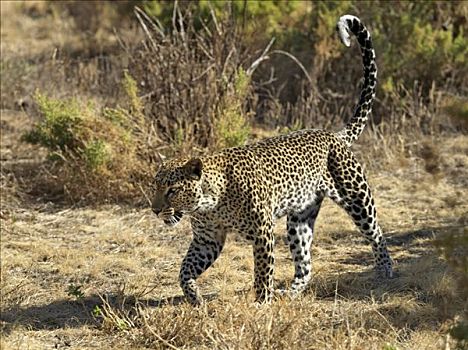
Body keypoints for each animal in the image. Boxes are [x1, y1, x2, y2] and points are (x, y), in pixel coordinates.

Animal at [152, 14, 394, 304]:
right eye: (154, 188)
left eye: (172, 190)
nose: (154, 210)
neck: (209, 202)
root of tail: (333, 134)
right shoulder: (206, 239)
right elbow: (184, 269)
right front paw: (194, 298)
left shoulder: (262, 232)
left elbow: (262, 271)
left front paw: (261, 303)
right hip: (299, 218)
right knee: (305, 264)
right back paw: (291, 293)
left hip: (357, 197)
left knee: (376, 233)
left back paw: (385, 271)